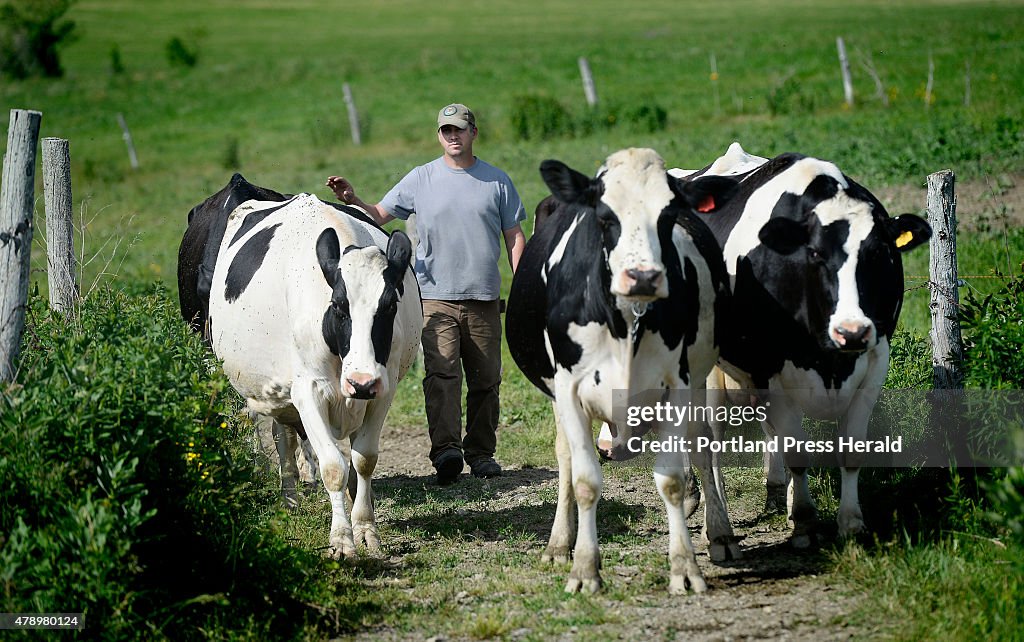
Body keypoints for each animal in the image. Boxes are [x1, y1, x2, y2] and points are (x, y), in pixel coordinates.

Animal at [199, 190, 419, 557]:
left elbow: (364, 460)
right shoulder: (308, 393)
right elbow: (333, 466)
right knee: (273, 435)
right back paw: (288, 499)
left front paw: (365, 529)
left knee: (285, 436)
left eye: (389, 306)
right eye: (339, 306)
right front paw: (341, 540)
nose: (360, 382)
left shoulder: (383, 391)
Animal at [507, 148, 741, 593]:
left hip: (698, 380)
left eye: (669, 215)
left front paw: (685, 568)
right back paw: (559, 543)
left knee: (702, 445)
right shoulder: (569, 390)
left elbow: (672, 479)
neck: (625, 320)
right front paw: (584, 568)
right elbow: (584, 481)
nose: (643, 276)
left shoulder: (677, 386)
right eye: (604, 215)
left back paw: (721, 534)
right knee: (565, 457)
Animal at [679, 142, 929, 548]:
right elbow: (796, 451)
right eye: (814, 254)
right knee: (707, 442)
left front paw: (850, 523)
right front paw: (806, 522)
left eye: (879, 254)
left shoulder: (876, 358)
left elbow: (851, 450)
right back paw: (718, 529)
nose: (851, 331)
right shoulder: (772, 370)